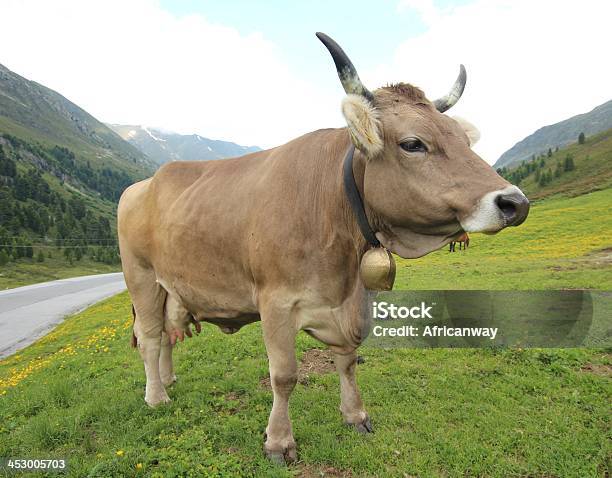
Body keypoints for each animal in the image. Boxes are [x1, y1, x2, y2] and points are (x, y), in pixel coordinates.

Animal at [117, 32, 528, 464]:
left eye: (463, 140)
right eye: (413, 144)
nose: (515, 202)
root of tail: (143, 183)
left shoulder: (353, 300)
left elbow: (347, 361)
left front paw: (355, 415)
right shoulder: (276, 302)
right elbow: (284, 376)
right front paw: (279, 441)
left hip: (171, 286)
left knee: (166, 333)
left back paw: (167, 380)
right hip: (141, 277)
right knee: (150, 336)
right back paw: (156, 396)